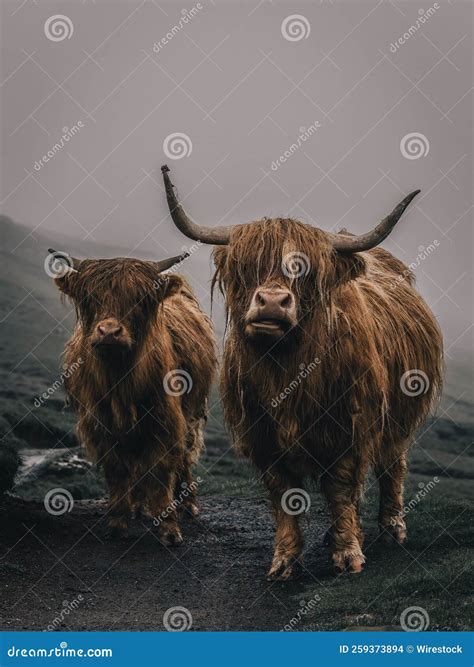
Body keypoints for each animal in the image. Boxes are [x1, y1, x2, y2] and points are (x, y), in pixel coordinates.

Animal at [49, 248, 216, 544]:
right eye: (90, 297)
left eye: (139, 299)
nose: (109, 332)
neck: (120, 380)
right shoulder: (100, 424)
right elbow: (117, 469)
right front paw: (118, 521)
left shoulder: (165, 420)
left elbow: (161, 469)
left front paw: (169, 528)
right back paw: (138, 506)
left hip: (193, 413)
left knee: (185, 457)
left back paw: (186, 505)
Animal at [161, 166, 442, 580]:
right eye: (247, 266)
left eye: (305, 272)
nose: (273, 302)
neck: (285, 370)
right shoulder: (262, 435)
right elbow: (284, 495)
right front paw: (285, 560)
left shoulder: (349, 427)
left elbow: (340, 487)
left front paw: (348, 554)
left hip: (399, 418)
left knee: (393, 466)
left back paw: (392, 529)